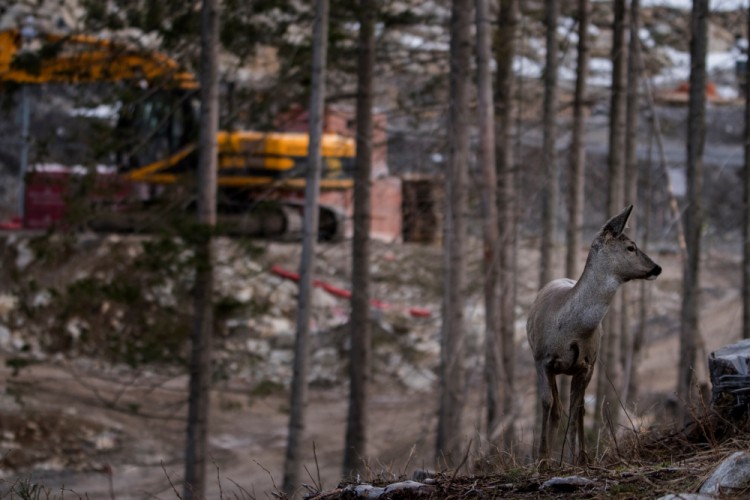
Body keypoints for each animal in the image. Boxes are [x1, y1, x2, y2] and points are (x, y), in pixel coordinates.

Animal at [524, 204, 660, 464]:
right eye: (631, 247)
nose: (657, 268)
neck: (571, 328)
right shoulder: (541, 360)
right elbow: (547, 402)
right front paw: (542, 458)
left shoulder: (587, 364)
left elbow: (578, 408)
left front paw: (577, 457)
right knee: (555, 407)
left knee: (573, 408)